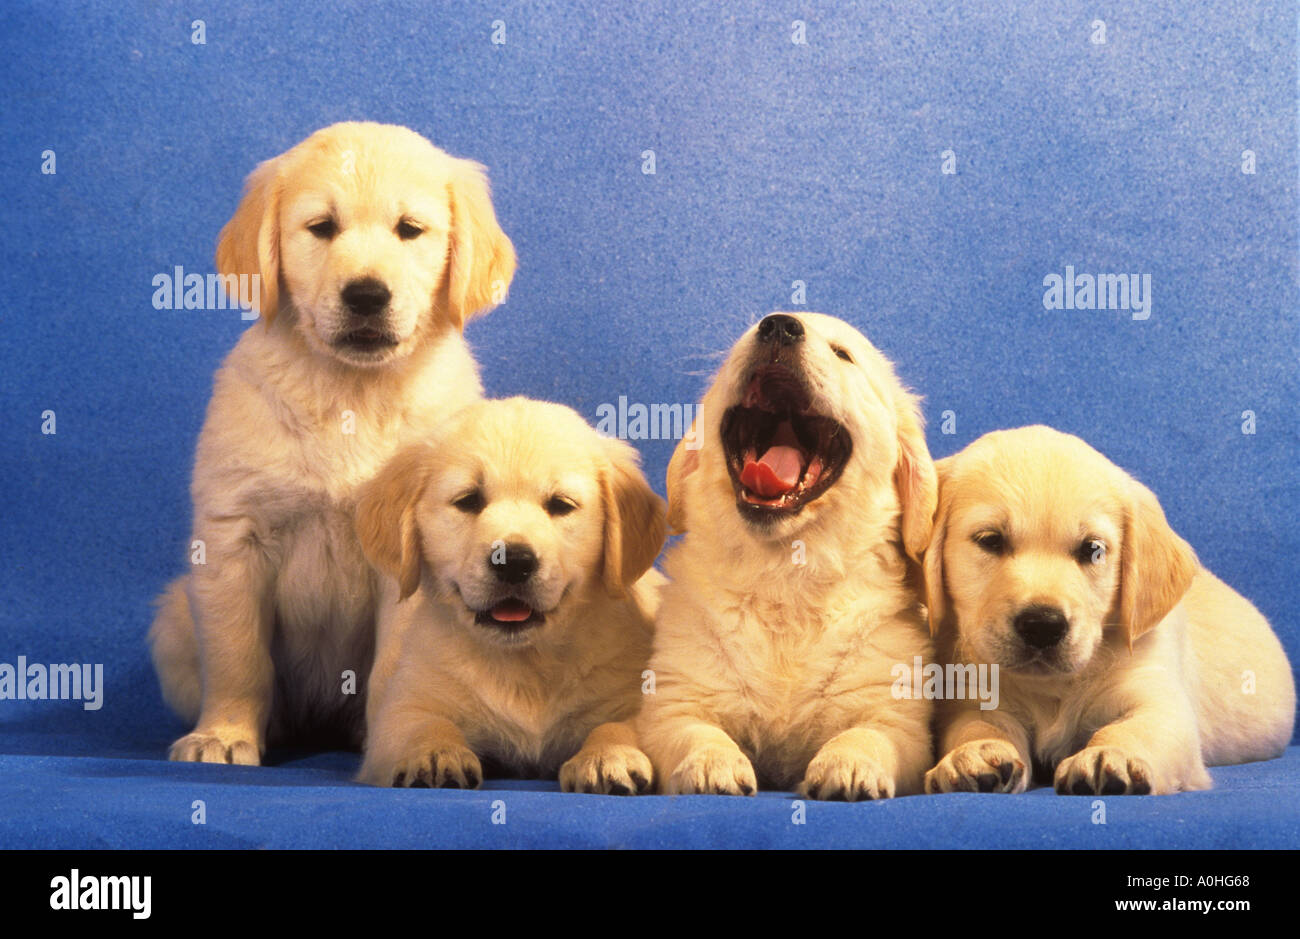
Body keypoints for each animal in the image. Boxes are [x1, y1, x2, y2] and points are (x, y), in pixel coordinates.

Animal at [149, 120, 514, 759]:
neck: (351, 392)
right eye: (321, 227)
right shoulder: (234, 539)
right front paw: (223, 734)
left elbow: (393, 667)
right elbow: (237, 655)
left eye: (409, 229)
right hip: (174, 614)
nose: (366, 295)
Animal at [353, 395, 665, 790]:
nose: (513, 562)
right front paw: (435, 753)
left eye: (561, 505)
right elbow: (422, 724)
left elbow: (617, 725)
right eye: (468, 501)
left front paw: (607, 756)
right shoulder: (408, 702)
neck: (525, 663)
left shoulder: (634, 693)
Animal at [637, 310, 935, 795]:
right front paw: (713, 762)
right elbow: (694, 732)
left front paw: (847, 764)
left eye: (843, 354)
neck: (786, 574)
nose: (778, 325)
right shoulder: (675, 701)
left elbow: (869, 735)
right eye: (747, 338)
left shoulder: (896, 714)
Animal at [920, 429, 1294, 795]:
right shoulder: (971, 695)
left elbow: (1134, 728)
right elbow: (977, 725)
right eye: (990, 540)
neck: (1054, 688)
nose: (1043, 625)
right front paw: (973, 753)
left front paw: (1109, 754)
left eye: (1093, 550)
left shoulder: (1157, 695)